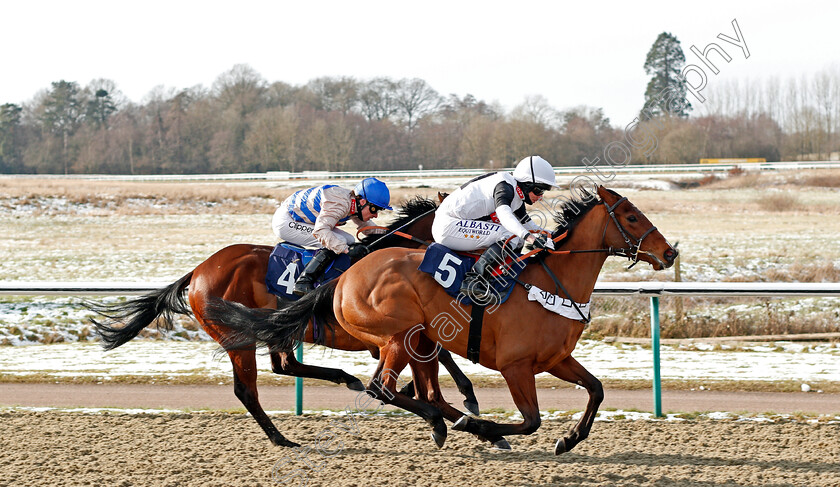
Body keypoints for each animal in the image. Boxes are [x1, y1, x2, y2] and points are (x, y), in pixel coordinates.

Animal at [207, 186, 680, 454]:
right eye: (632, 216)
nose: (670, 252)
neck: (550, 282)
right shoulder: (516, 366)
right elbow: (530, 420)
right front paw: (481, 424)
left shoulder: (555, 359)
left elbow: (596, 390)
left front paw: (568, 440)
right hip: (399, 336)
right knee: (380, 387)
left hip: (413, 340)